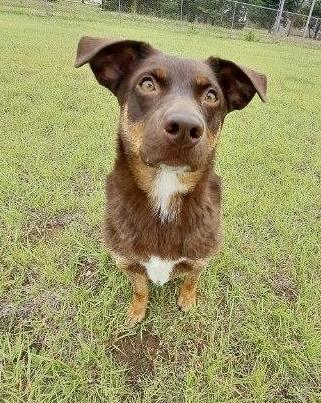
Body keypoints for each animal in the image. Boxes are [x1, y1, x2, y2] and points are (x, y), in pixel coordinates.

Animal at [74, 37, 266, 328]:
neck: (165, 189)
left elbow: (191, 281)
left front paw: (187, 301)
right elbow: (140, 289)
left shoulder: (200, 258)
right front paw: (136, 311)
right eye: (147, 84)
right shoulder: (126, 261)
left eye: (211, 96)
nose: (186, 127)